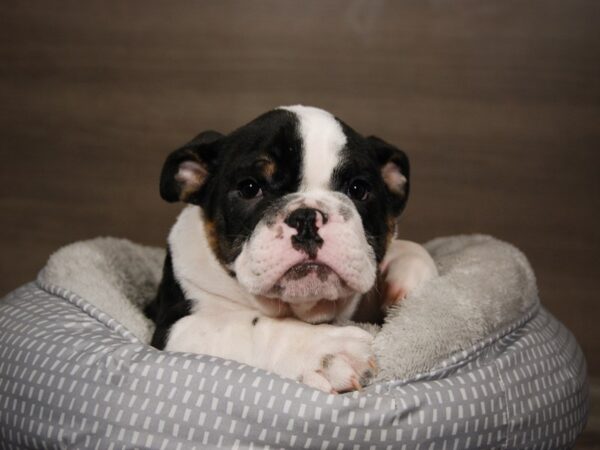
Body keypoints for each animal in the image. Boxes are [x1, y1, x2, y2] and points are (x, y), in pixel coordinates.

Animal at [145, 106, 436, 394]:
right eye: (249, 188)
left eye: (358, 189)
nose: (306, 218)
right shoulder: (178, 329)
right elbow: (249, 326)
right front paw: (325, 350)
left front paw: (408, 274)